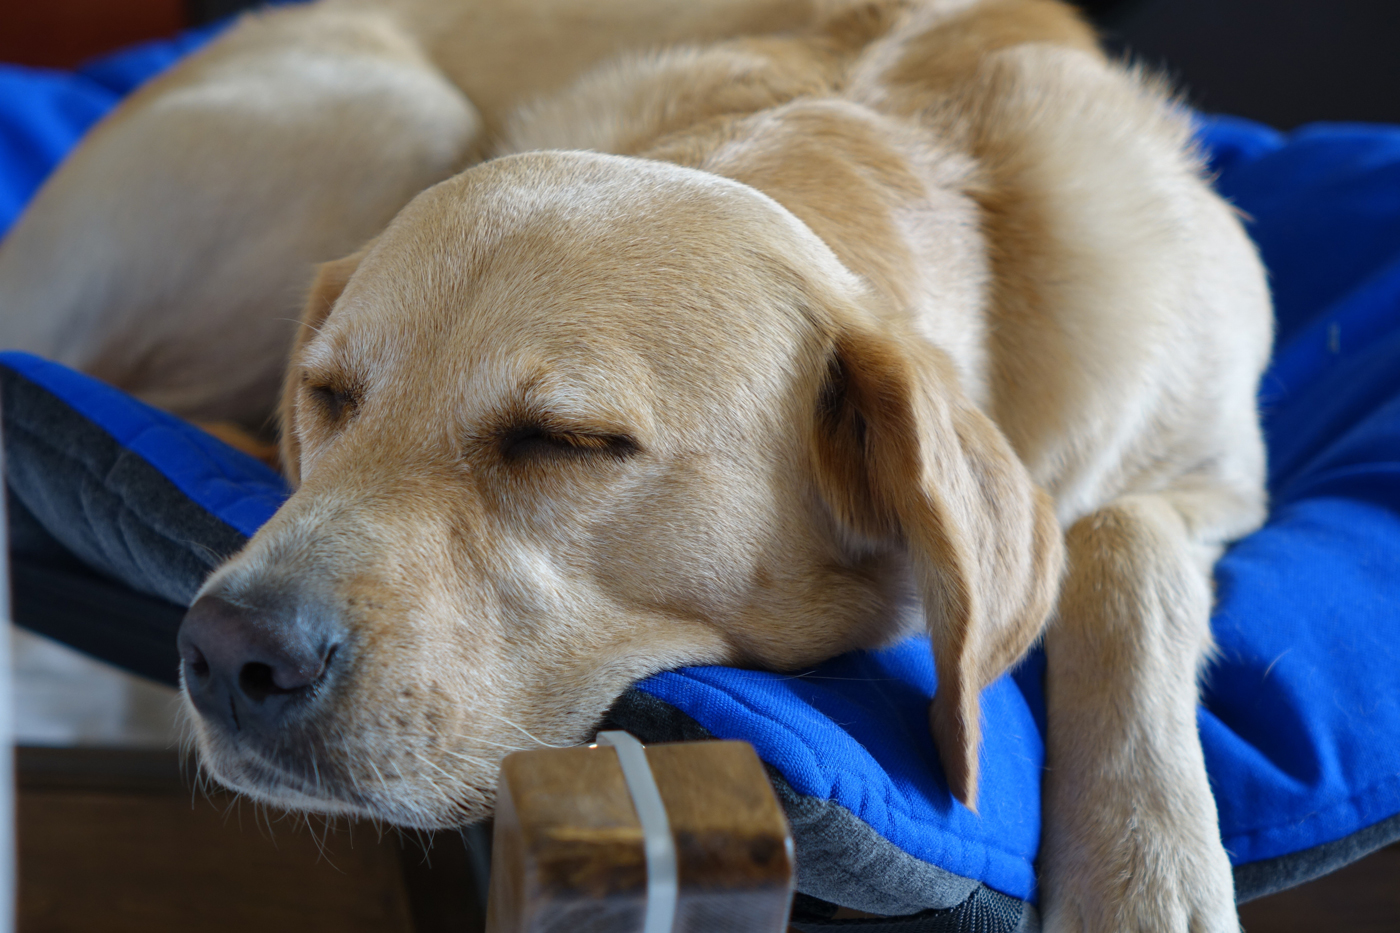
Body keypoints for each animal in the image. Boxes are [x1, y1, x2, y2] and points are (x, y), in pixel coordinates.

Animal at [0, 3, 1271, 924]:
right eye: (331, 399)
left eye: (566, 441)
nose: (224, 654)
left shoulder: (1222, 470)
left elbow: (1120, 548)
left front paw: (1142, 873)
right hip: (389, 114)